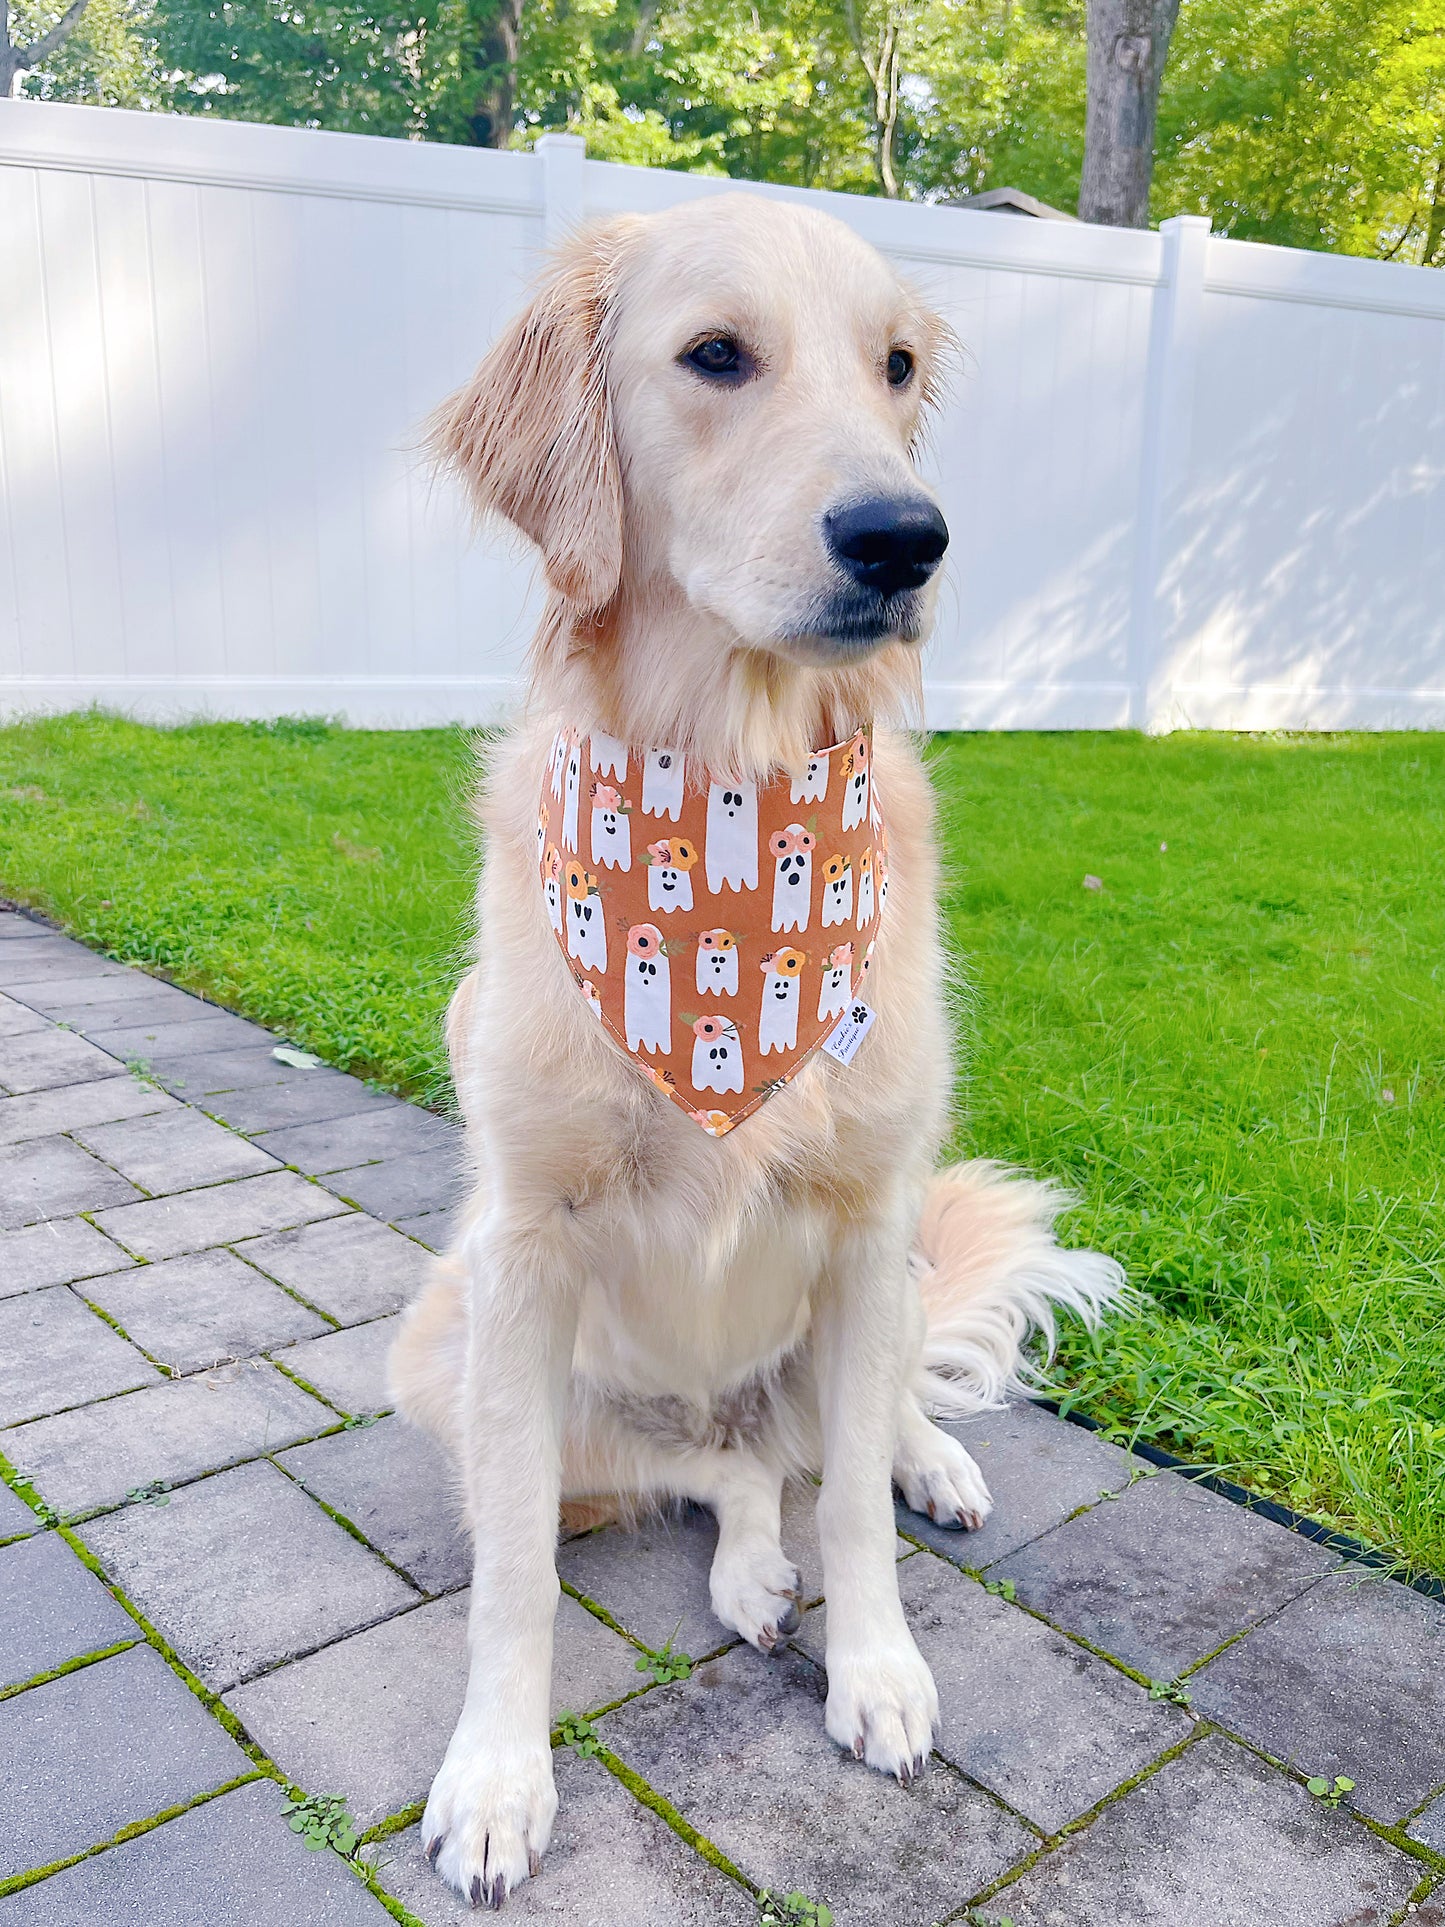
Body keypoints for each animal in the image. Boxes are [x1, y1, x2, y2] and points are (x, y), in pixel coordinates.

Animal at [391, 187, 1125, 1903]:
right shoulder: (521, 1252)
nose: (905, 537)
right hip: (450, 1345)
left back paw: (930, 1462)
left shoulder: (864, 1222)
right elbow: (515, 1572)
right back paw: (744, 1571)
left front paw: (880, 1667)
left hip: (878, 1278)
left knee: (830, 1439)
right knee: (719, 1474)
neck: (727, 780)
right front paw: (496, 1775)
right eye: (716, 355)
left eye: (897, 366)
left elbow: (850, 1498)